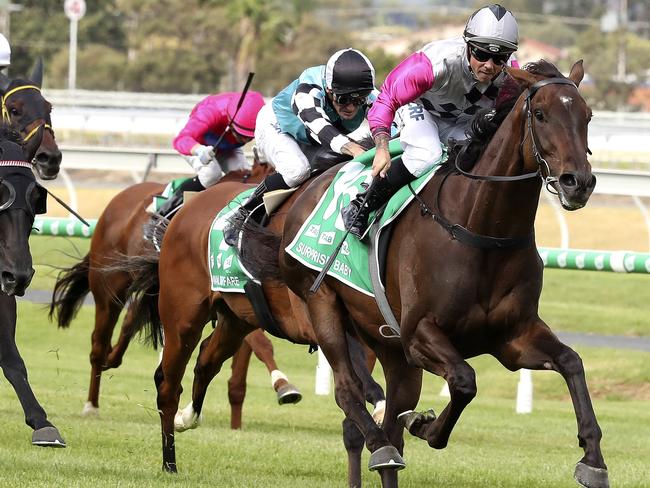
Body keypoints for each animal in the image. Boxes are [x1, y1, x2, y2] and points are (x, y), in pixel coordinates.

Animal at [233, 60, 608, 488]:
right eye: (541, 114)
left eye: (587, 116)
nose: (578, 182)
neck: (481, 231)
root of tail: (307, 188)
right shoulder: (419, 334)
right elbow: (464, 380)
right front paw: (425, 426)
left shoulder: (512, 337)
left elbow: (571, 362)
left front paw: (593, 458)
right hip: (323, 305)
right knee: (348, 392)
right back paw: (381, 445)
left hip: (389, 349)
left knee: (388, 418)